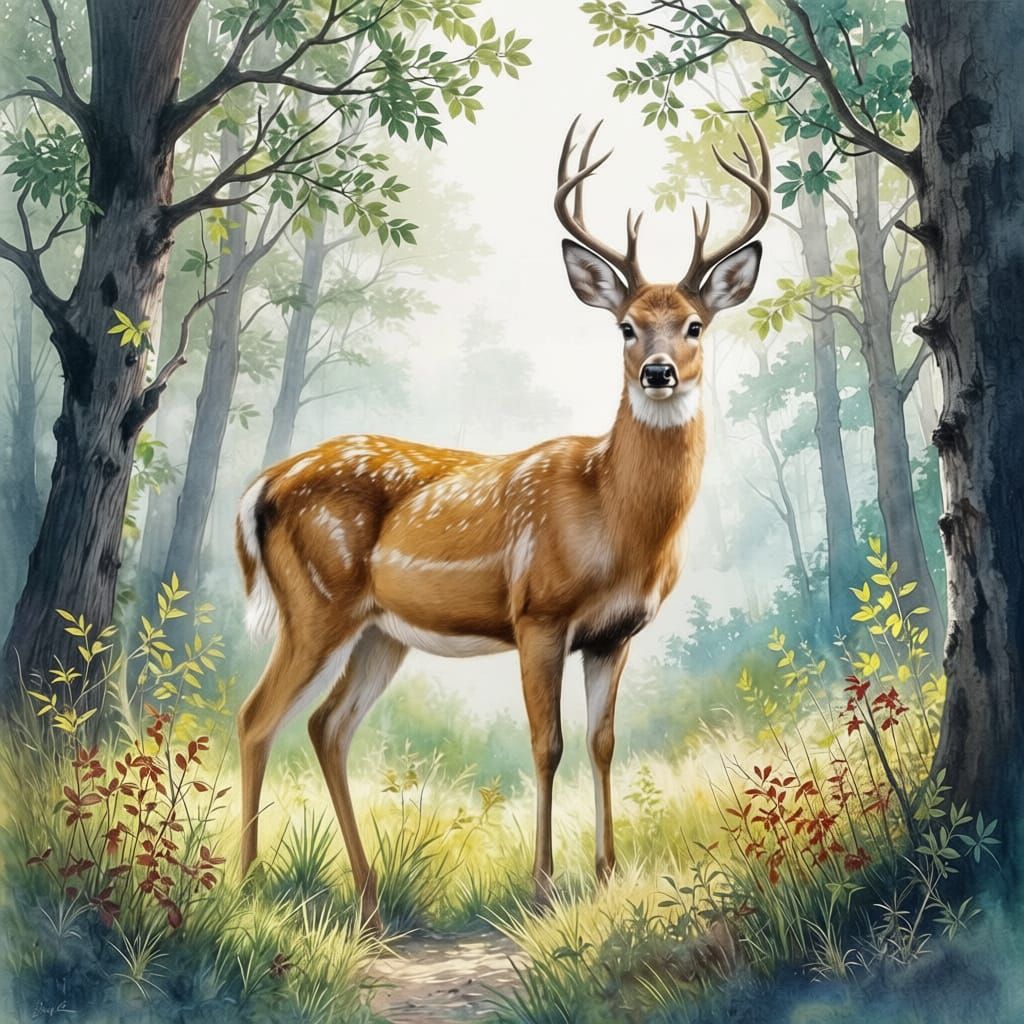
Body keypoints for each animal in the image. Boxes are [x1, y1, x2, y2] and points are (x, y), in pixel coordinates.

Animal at [235, 116, 771, 932]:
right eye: (625, 327)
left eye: (694, 325)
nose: (658, 373)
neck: (615, 521)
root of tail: (261, 485)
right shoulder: (538, 614)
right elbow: (547, 744)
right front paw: (543, 884)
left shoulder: (614, 633)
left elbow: (603, 742)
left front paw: (607, 874)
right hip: (316, 605)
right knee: (256, 717)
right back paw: (244, 888)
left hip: (381, 632)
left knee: (327, 727)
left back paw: (369, 903)